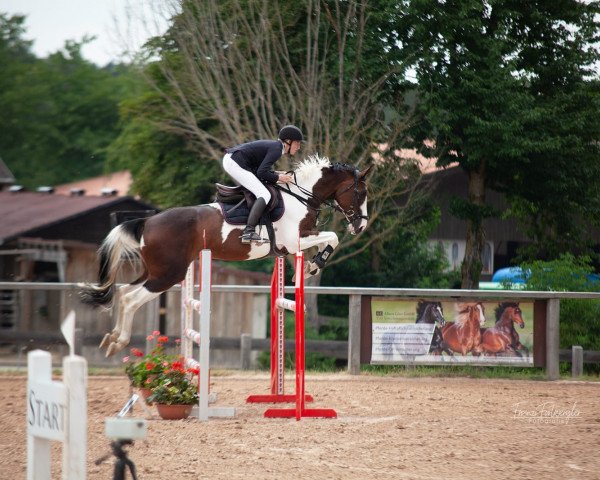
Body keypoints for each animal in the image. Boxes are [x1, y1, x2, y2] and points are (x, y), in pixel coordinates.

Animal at [79, 155, 370, 356]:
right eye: (360, 193)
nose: (360, 226)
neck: (299, 197)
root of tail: (148, 222)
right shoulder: (291, 241)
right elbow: (332, 237)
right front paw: (314, 265)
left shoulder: (298, 240)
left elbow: (328, 239)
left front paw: (312, 265)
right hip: (168, 274)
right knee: (131, 300)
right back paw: (119, 342)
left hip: (154, 271)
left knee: (123, 292)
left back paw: (111, 339)